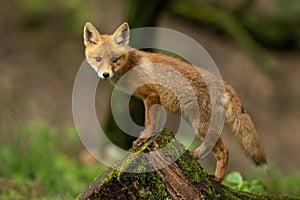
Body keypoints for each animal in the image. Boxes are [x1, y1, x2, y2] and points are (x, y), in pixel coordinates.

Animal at [82, 21, 268, 181]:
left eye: (114, 59)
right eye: (98, 59)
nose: (105, 74)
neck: (129, 66)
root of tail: (224, 83)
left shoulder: (152, 95)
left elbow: (149, 122)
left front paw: (143, 139)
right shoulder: (151, 99)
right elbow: (154, 122)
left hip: (200, 123)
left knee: (223, 150)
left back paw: (218, 178)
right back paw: (195, 157)